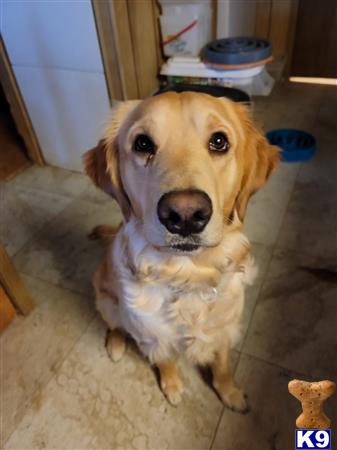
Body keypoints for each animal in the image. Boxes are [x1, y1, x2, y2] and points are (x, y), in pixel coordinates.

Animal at [82, 93, 276, 414]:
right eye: (143, 144)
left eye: (219, 141)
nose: (185, 214)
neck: (188, 275)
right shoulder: (153, 335)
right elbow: (166, 361)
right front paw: (172, 387)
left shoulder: (224, 327)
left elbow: (222, 365)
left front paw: (230, 393)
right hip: (106, 301)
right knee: (116, 326)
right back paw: (116, 345)